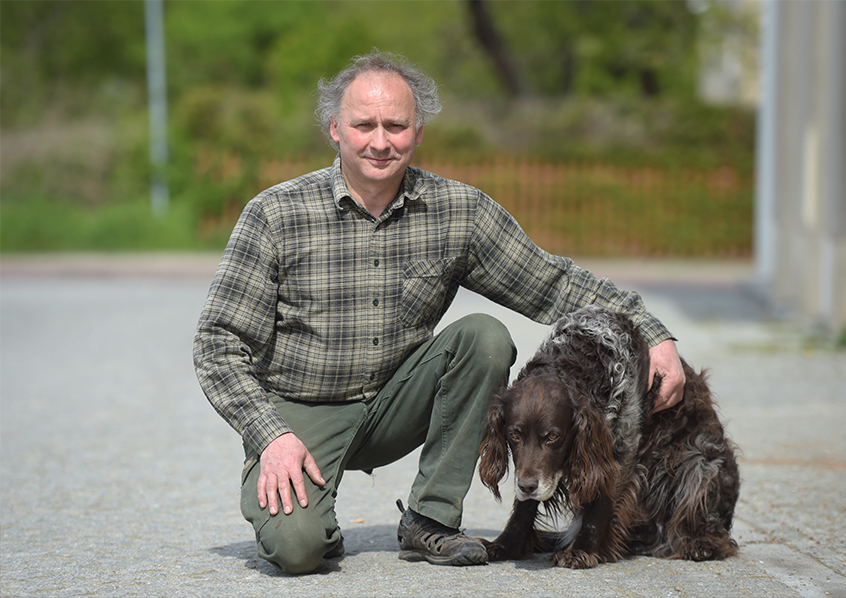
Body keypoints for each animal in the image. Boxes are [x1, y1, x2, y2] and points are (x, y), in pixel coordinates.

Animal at [480, 308, 740, 568]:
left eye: (553, 436)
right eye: (514, 435)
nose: (527, 486)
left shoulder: (620, 451)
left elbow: (600, 504)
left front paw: (582, 550)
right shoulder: (534, 469)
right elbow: (524, 507)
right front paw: (506, 545)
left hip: (701, 465)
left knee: (713, 529)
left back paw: (700, 544)